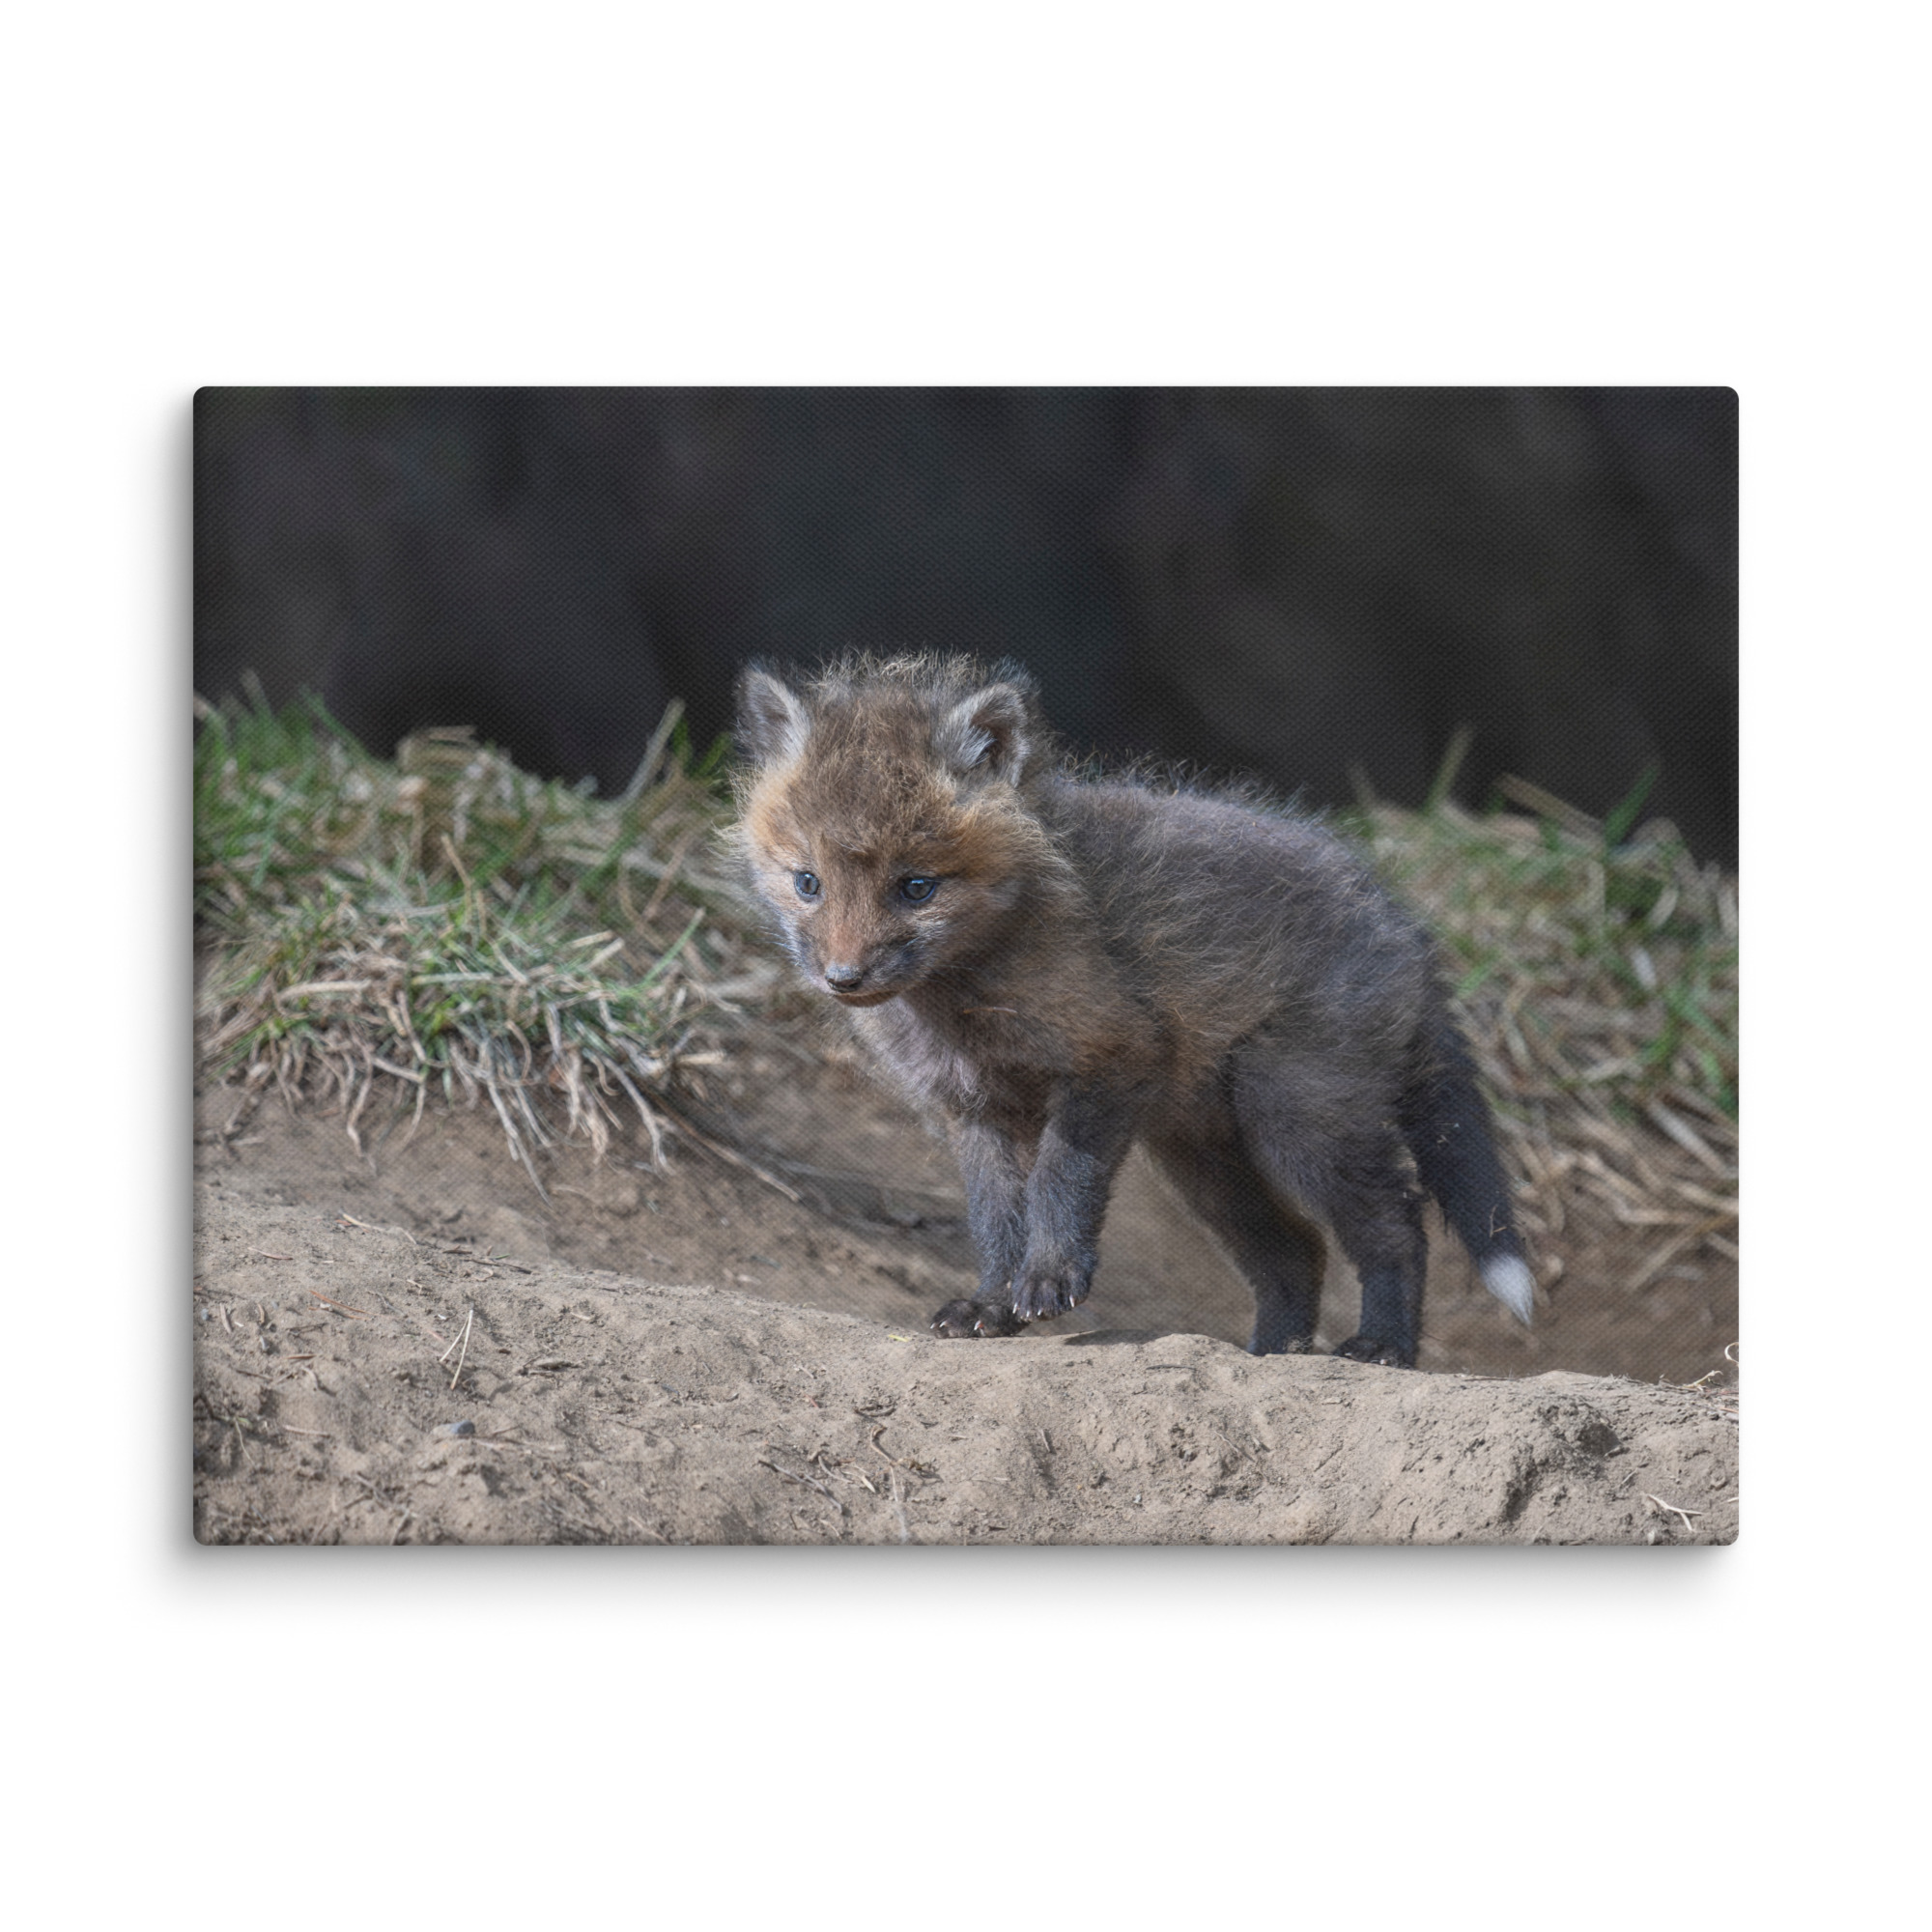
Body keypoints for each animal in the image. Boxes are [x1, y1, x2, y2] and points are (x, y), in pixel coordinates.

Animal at [729, 652, 1536, 1367]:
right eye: (807, 883)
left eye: (916, 887)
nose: (843, 978)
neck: (962, 1003)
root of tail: (1403, 923)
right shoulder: (975, 1109)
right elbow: (995, 1219)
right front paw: (991, 1304)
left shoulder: (1112, 1056)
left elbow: (1060, 1181)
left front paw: (1050, 1278)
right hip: (1204, 1157)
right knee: (1296, 1250)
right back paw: (1272, 1353)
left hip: (1298, 1117)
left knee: (1397, 1224)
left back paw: (1383, 1346)